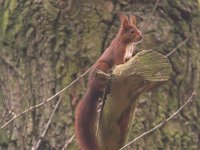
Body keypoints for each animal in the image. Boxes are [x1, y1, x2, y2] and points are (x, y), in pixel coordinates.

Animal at [74, 12, 142, 150]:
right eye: (132, 31)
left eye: (137, 29)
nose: (141, 36)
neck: (127, 43)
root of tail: (91, 89)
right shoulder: (118, 51)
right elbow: (120, 63)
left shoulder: (128, 55)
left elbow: (128, 61)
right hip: (103, 68)